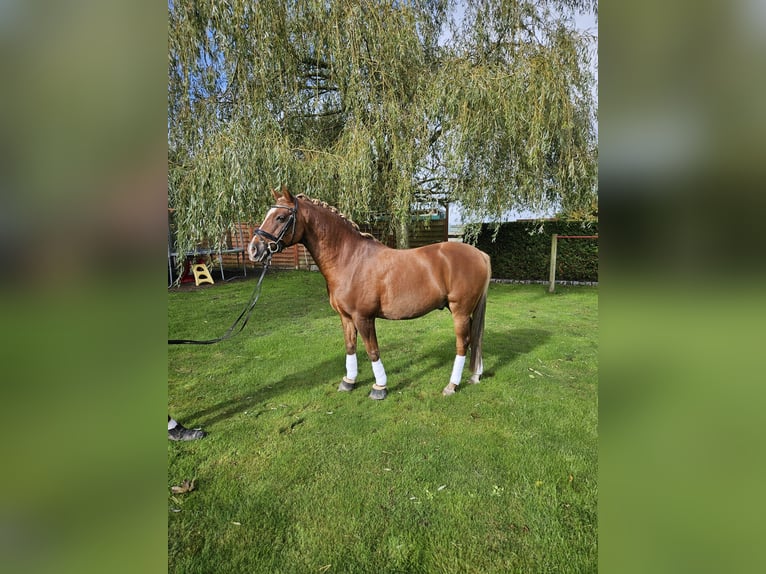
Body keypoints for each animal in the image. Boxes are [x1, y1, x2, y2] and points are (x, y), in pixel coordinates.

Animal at [249, 189, 496, 400]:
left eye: (281, 217)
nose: (254, 249)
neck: (349, 259)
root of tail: (481, 255)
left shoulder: (363, 317)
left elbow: (372, 350)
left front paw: (379, 387)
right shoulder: (346, 317)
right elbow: (350, 347)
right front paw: (348, 381)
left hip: (459, 311)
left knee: (463, 343)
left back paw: (451, 385)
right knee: (475, 337)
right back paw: (475, 375)